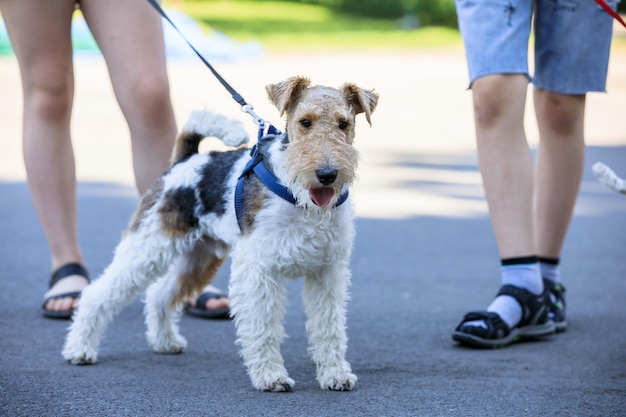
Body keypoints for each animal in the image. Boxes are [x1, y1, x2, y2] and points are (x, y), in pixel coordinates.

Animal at [62, 75, 376, 390]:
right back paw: (79, 349)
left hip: (198, 259)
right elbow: (263, 327)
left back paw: (165, 341)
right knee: (97, 294)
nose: (326, 175)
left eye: (343, 124)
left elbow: (329, 326)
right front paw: (271, 376)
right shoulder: (258, 270)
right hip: (148, 247)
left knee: (159, 295)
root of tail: (185, 162)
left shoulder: (327, 271)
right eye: (305, 122)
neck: (299, 199)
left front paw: (335, 374)